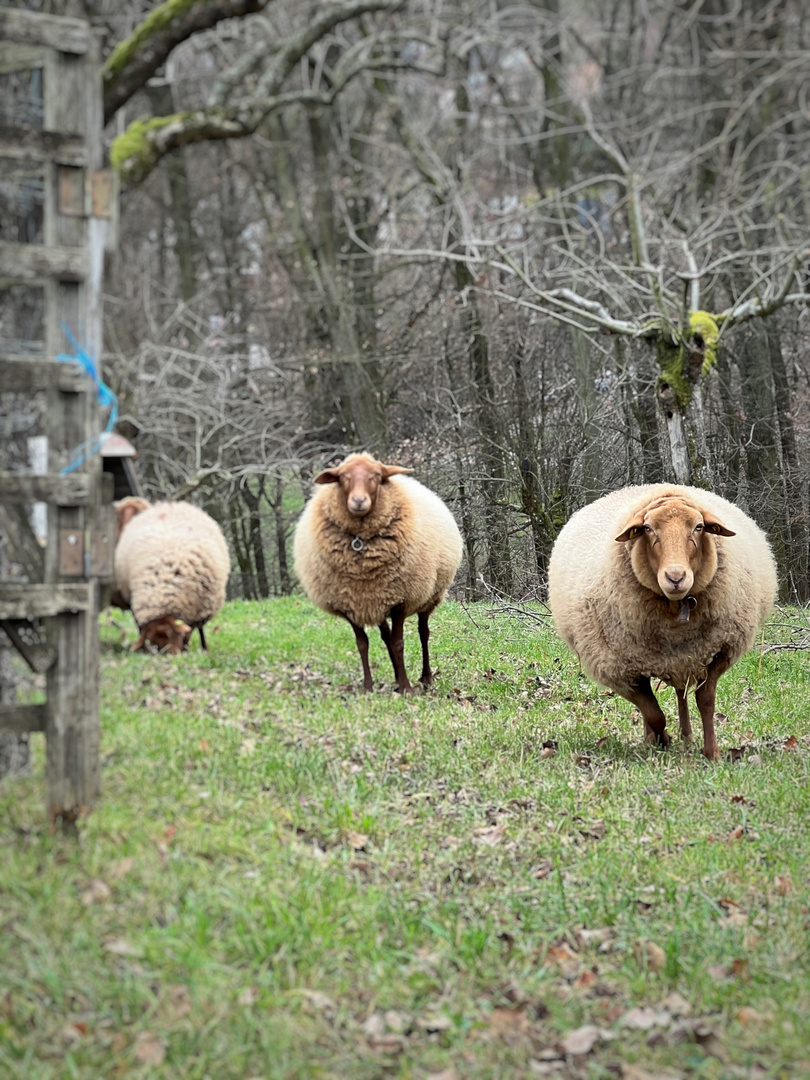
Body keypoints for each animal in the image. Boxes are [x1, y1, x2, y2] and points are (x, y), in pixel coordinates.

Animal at [112, 494, 231, 652]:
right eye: (153, 642)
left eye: (171, 634)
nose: (171, 654)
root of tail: (169, 504)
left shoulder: (196, 610)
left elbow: (189, 630)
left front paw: (187, 647)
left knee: (200, 629)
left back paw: (204, 648)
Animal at [295, 449, 466, 686]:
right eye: (343, 476)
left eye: (376, 475)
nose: (358, 501)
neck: (359, 542)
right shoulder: (349, 604)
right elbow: (363, 644)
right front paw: (369, 686)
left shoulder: (401, 600)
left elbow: (399, 643)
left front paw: (406, 688)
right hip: (376, 600)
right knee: (386, 636)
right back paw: (396, 677)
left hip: (429, 596)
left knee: (423, 632)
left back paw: (425, 677)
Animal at [548, 486, 777, 764]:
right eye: (647, 528)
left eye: (699, 527)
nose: (675, 577)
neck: (675, 612)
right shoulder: (619, 668)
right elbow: (653, 712)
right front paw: (660, 740)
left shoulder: (717, 653)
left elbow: (706, 702)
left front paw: (711, 753)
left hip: (684, 658)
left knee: (681, 692)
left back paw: (687, 735)